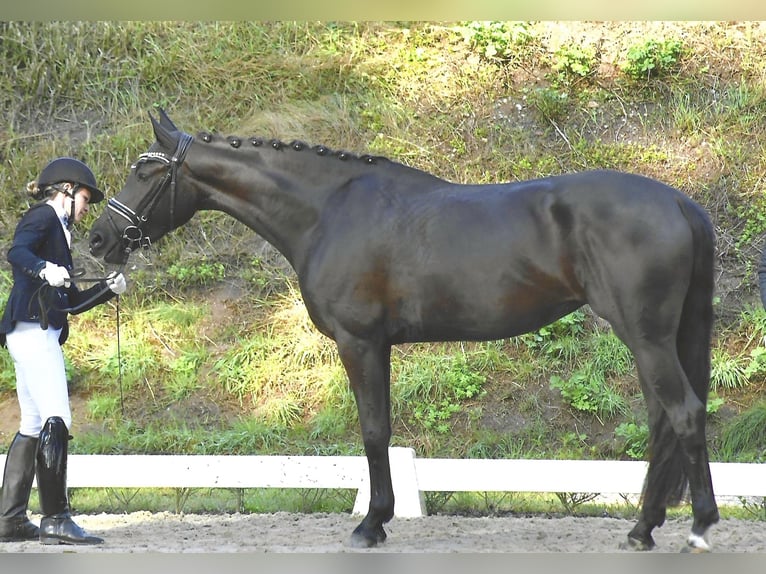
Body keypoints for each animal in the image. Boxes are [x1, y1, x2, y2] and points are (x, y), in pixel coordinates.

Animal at [88, 109, 720, 552]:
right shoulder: (379, 346)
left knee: (685, 414)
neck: (327, 211)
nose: (98, 239)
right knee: (664, 422)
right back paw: (643, 528)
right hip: (656, 341)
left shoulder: (360, 342)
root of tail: (679, 202)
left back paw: (698, 527)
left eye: (145, 170)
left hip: (645, 338)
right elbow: (382, 428)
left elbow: (373, 430)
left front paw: (372, 523)